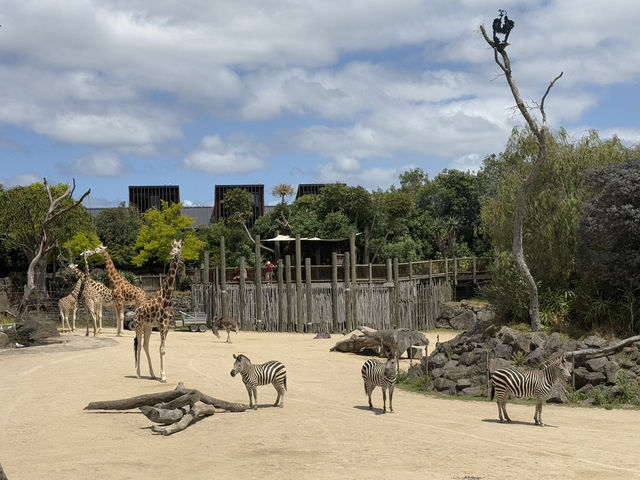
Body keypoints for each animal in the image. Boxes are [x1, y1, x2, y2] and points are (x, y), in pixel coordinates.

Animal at [134, 239, 181, 382]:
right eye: (172, 246)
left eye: (179, 247)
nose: (172, 253)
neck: (167, 297)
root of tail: (136, 311)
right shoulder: (161, 324)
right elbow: (161, 349)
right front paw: (163, 376)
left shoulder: (167, 325)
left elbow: (163, 348)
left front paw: (161, 375)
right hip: (138, 325)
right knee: (139, 345)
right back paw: (138, 373)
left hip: (148, 326)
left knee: (145, 345)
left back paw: (152, 374)